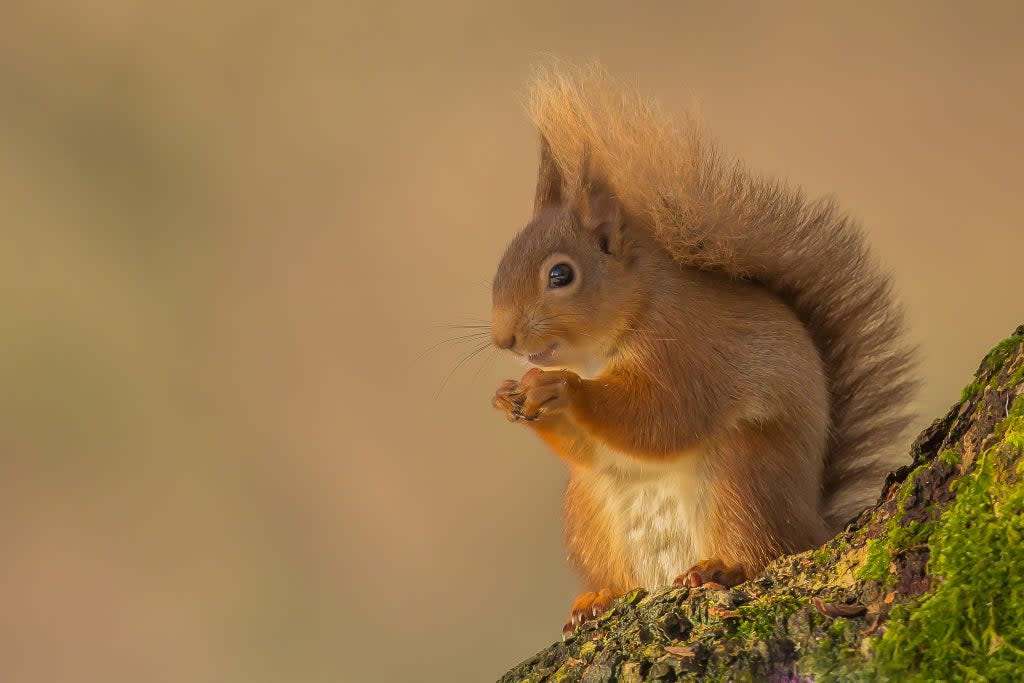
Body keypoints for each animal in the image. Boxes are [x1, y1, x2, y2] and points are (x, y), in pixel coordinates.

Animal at [491, 63, 917, 634]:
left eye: (561, 275)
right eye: (499, 267)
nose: (504, 339)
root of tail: (812, 522)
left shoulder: (689, 349)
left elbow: (665, 416)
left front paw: (564, 389)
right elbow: (592, 446)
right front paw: (508, 396)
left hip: (745, 476)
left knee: (764, 549)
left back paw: (722, 566)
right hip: (589, 510)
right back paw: (598, 597)